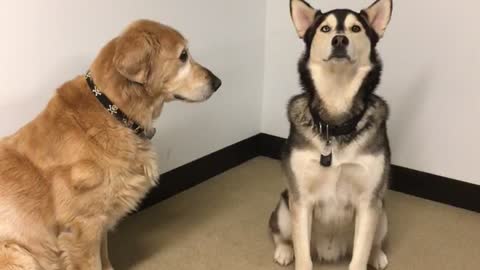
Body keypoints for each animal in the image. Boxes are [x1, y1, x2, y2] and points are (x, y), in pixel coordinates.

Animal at [0, 19, 221, 270]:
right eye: (183, 55)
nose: (218, 82)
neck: (114, 113)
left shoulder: (101, 222)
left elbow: (105, 260)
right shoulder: (83, 229)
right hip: (21, 255)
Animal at [270, 0, 394, 270]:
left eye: (356, 28)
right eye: (325, 28)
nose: (339, 40)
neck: (336, 123)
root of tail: (330, 250)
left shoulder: (368, 202)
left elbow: (359, 256)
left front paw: (367, 257)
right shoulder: (301, 200)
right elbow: (303, 254)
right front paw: (295, 255)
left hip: (381, 212)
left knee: (375, 242)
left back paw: (377, 255)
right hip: (285, 207)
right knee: (279, 233)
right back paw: (284, 250)